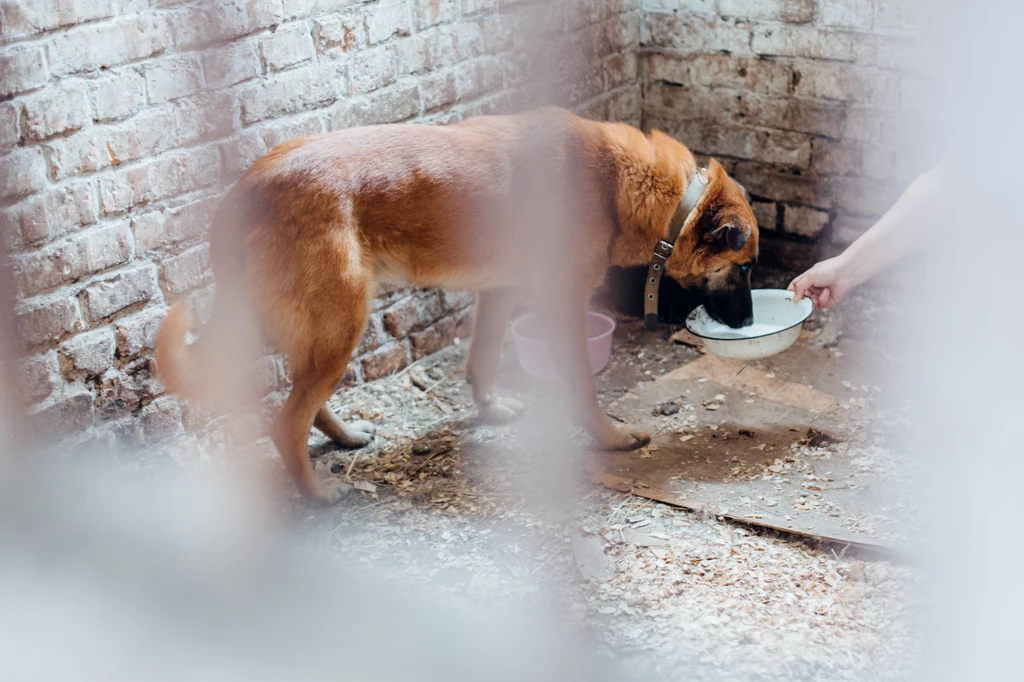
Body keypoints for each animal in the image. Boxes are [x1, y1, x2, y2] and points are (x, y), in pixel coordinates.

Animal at [155, 104, 757, 499]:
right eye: (746, 267)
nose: (749, 320)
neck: (632, 187)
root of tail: (243, 191)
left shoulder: (500, 291)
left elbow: (482, 359)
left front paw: (490, 411)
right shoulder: (560, 305)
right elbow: (583, 387)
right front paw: (609, 436)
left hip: (318, 330)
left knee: (299, 402)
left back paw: (346, 437)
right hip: (343, 323)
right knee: (285, 424)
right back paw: (318, 493)